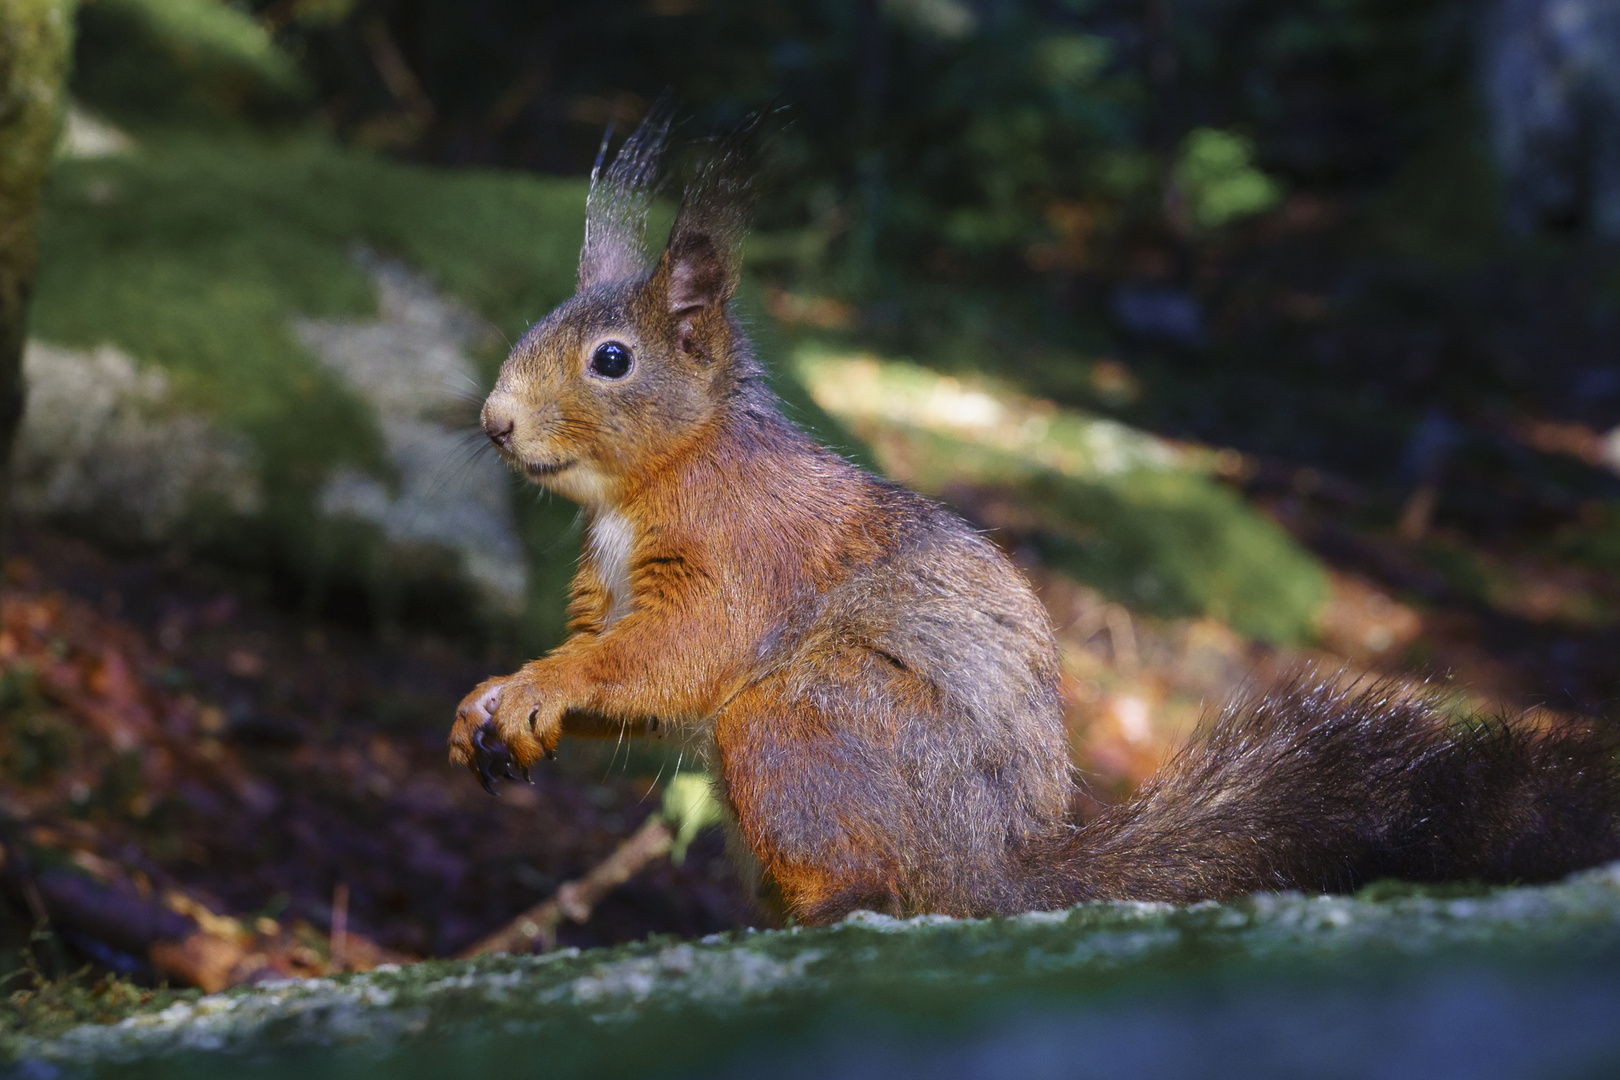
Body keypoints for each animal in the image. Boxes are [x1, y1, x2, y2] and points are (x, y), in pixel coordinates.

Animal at [447, 120, 1620, 932]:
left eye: (611, 360)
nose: (494, 421)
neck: (646, 482)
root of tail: (992, 875)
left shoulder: (742, 551)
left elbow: (676, 651)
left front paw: (544, 684)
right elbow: (619, 663)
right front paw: (491, 702)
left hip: (803, 722)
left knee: (873, 876)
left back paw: (831, 913)